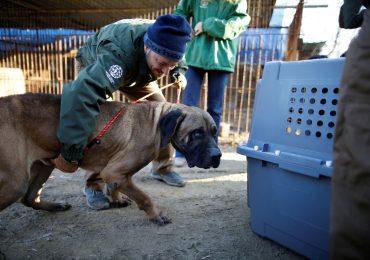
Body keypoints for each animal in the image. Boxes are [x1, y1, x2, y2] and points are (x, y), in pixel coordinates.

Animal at [0, 93, 220, 225]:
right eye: (197, 133)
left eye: (214, 131)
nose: (217, 156)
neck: (156, 121)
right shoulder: (113, 171)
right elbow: (144, 197)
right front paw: (156, 215)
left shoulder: (113, 171)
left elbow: (115, 187)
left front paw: (118, 198)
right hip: (15, 181)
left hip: (44, 166)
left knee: (29, 198)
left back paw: (55, 206)